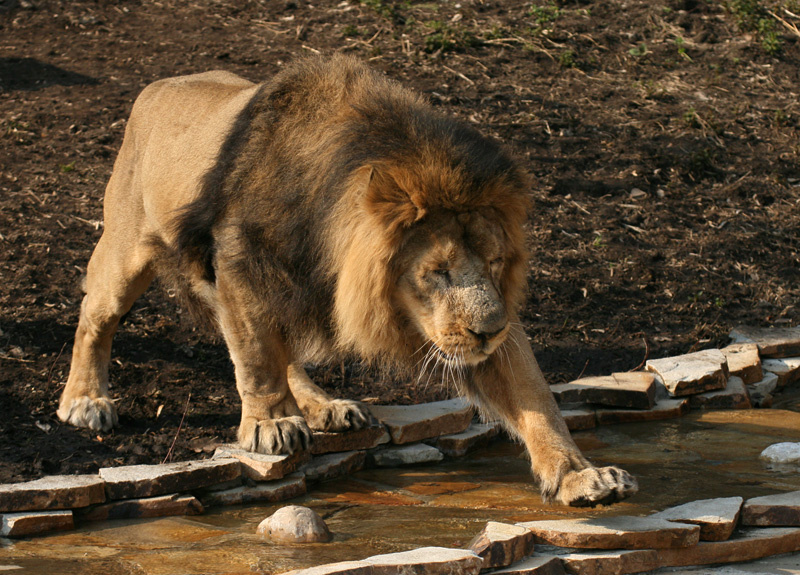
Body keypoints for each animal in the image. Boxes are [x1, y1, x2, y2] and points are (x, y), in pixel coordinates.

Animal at [57, 54, 637, 507]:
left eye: (495, 263)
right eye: (438, 272)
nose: (487, 332)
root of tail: (159, 85)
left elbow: (533, 394)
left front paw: (580, 474)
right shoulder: (240, 264)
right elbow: (257, 357)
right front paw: (269, 425)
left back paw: (325, 407)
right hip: (126, 250)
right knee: (95, 316)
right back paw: (85, 400)